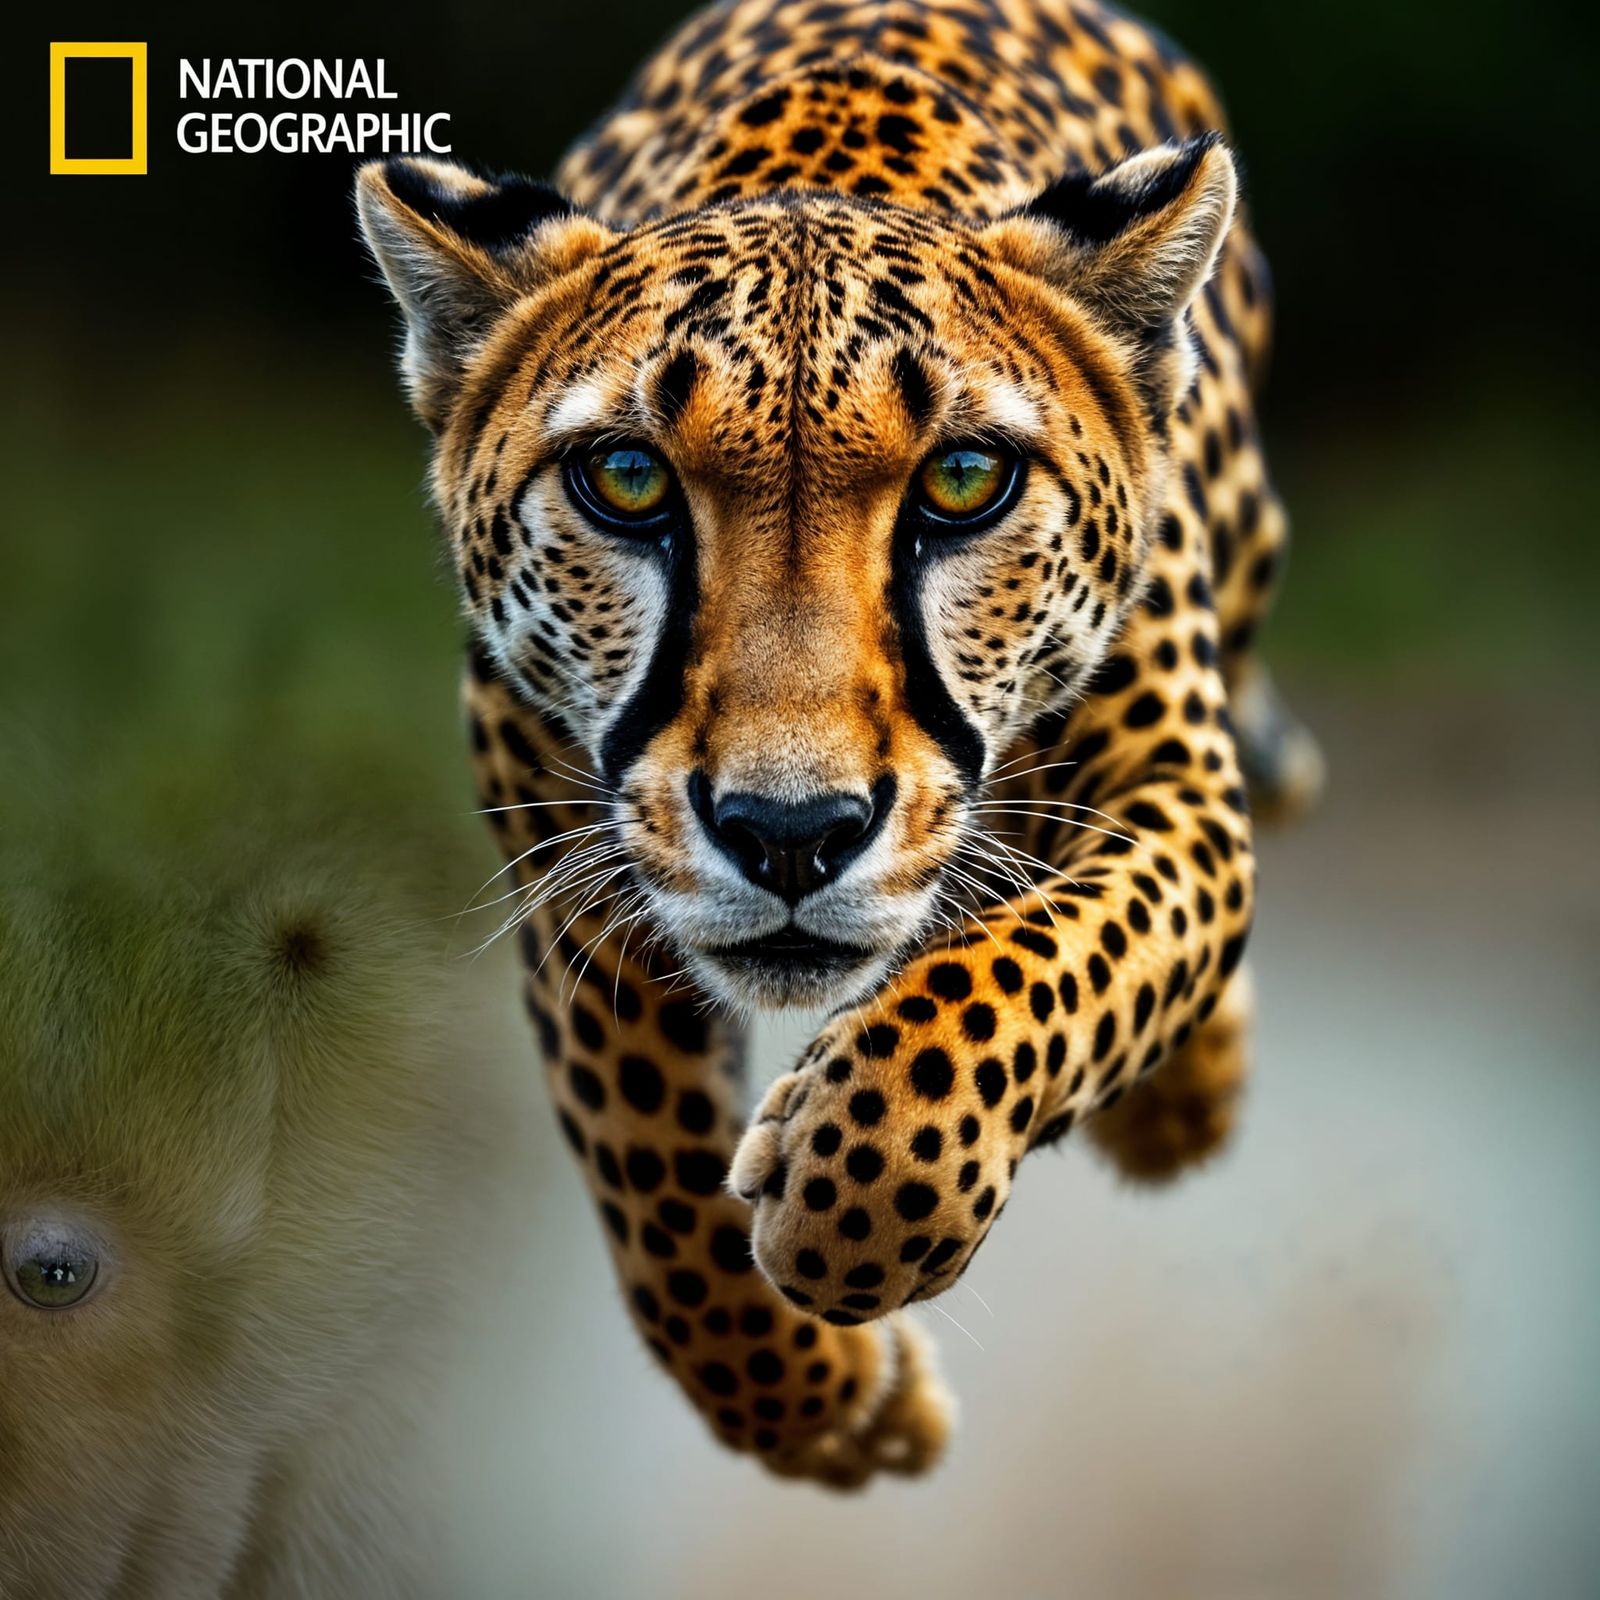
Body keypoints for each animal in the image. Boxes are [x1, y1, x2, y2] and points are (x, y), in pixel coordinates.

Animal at [357, 0, 1321, 1489]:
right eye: (625, 481)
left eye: (965, 482)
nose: (790, 834)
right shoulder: (567, 859)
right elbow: (651, 1185)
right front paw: (828, 1407)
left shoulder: (1177, 793)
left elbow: (1057, 968)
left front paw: (842, 1214)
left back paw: (1185, 1102)